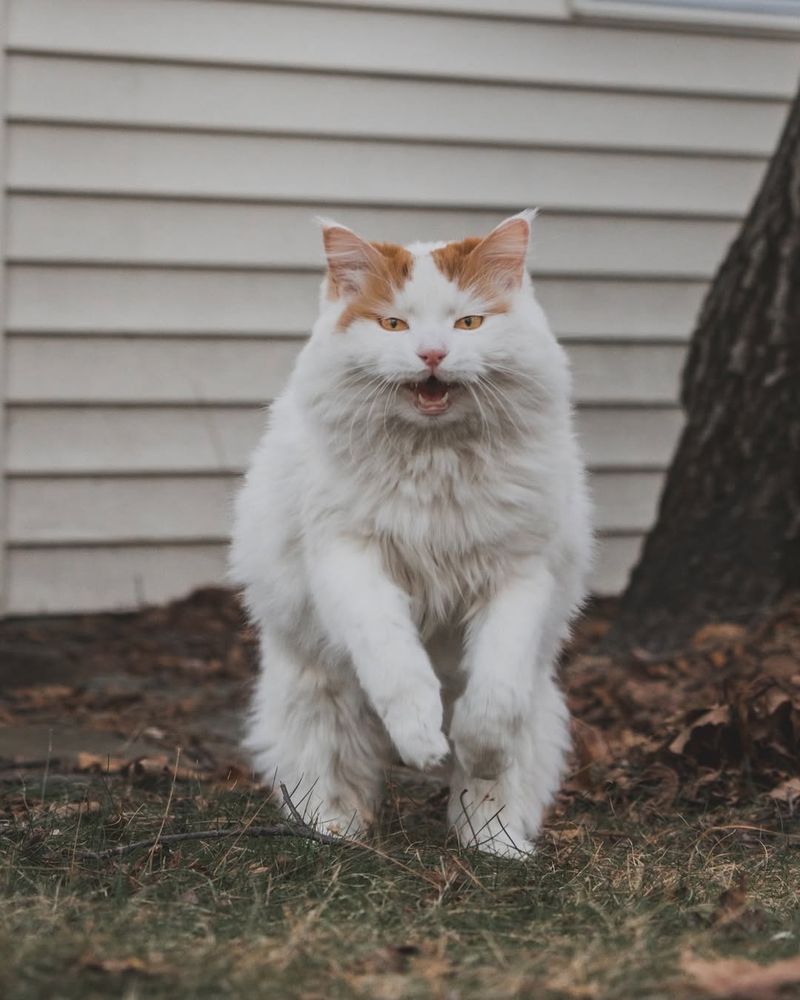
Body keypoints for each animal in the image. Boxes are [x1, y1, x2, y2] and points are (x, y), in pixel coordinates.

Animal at [228, 211, 592, 860]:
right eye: (392, 324)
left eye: (468, 322)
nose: (431, 353)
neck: (434, 457)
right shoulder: (350, 560)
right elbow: (397, 666)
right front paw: (421, 742)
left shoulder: (520, 575)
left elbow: (492, 702)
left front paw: (470, 746)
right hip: (317, 696)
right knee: (332, 776)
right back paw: (336, 831)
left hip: (536, 703)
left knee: (491, 788)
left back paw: (496, 846)